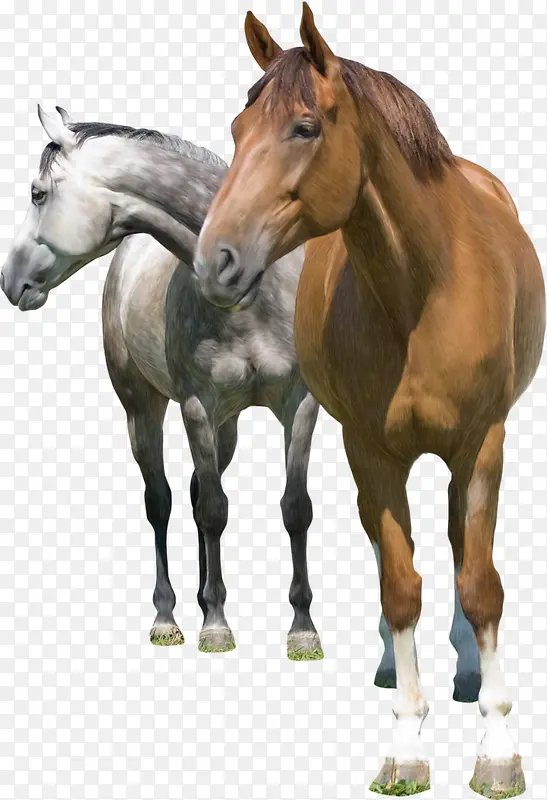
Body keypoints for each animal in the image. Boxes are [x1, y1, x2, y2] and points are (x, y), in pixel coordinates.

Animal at [0, 106, 324, 660]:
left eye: (38, 193)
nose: (9, 279)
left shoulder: (298, 405)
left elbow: (294, 509)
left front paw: (302, 629)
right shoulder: (198, 407)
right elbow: (214, 510)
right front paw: (216, 626)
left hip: (228, 427)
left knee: (194, 495)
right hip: (143, 409)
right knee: (163, 501)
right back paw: (169, 616)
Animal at [193, 6, 545, 796]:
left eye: (303, 127)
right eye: (236, 127)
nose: (212, 261)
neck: (423, 288)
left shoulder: (482, 443)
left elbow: (480, 584)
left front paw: (498, 748)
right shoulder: (371, 452)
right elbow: (398, 586)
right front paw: (406, 745)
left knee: (458, 551)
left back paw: (470, 678)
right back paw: (394, 667)